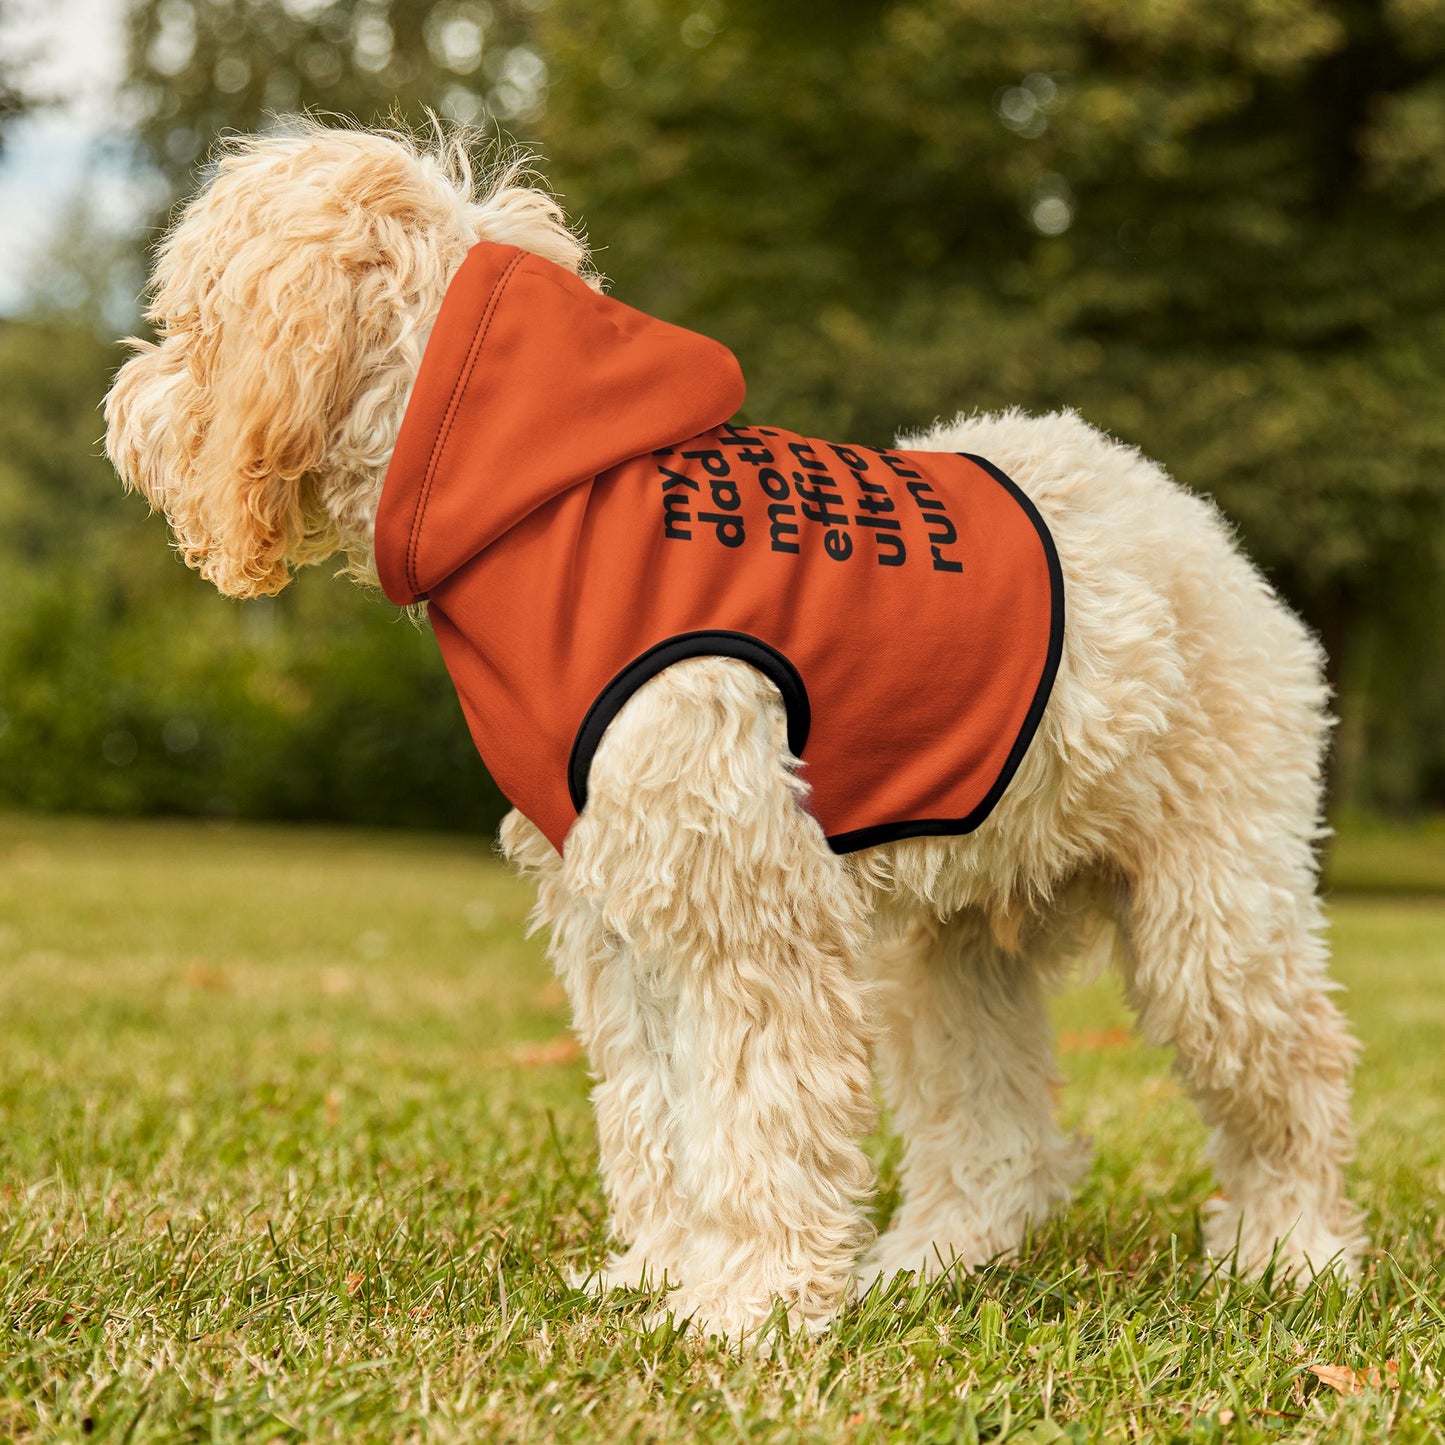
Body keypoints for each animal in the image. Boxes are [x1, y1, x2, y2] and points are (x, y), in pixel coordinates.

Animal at [104, 124, 1364, 1340]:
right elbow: (655, 1111)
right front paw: (661, 1273)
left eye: (190, 318)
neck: (542, 498)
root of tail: (1191, 522)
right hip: (949, 949)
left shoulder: (744, 905)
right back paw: (929, 1261)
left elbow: (758, 1114)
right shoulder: (618, 911)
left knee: (1293, 1077)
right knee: (996, 1135)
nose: (122, 410)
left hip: (1213, 916)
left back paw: (1290, 1252)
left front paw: (747, 1304)